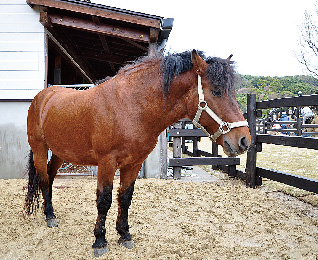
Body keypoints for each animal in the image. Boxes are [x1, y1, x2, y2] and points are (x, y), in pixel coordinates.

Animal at [24, 49, 251, 256]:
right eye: (217, 91)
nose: (244, 140)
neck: (130, 106)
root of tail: (43, 96)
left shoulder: (133, 163)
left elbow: (125, 198)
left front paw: (124, 235)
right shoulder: (107, 163)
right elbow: (104, 200)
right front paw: (99, 241)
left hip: (60, 152)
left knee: (50, 178)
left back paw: (50, 212)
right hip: (39, 149)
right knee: (43, 178)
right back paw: (49, 216)